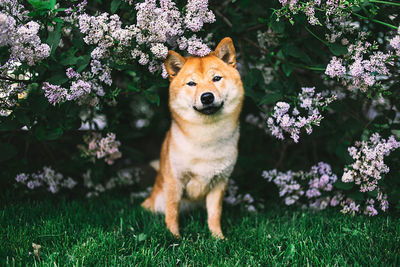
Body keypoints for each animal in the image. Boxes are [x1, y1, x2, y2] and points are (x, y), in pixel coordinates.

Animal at [142, 37, 245, 239]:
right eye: (191, 83)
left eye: (216, 78)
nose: (207, 97)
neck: (206, 137)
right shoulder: (175, 180)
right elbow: (172, 212)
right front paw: (174, 237)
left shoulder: (219, 182)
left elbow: (214, 213)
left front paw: (218, 237)